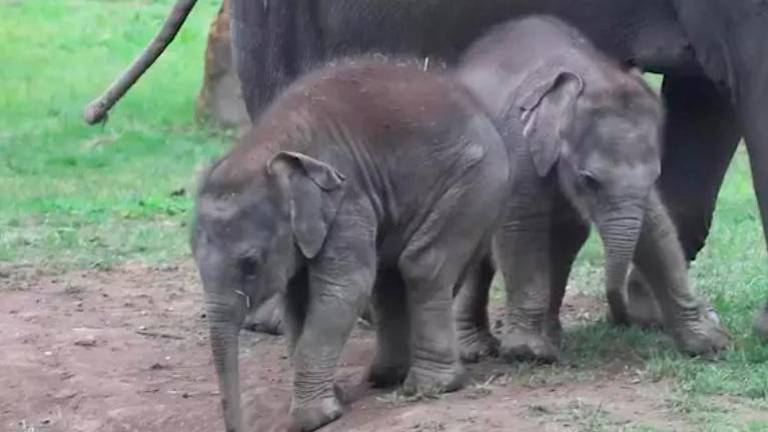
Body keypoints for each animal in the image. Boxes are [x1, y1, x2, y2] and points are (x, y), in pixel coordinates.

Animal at [191, 57, 511, 432]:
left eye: (250, 263)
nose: (240, 424)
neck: (268, 146)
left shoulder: (347, 200)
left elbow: (343, 289)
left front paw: (313, 419)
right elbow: (297, 300)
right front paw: (335, 399)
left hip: (473, 183)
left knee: (422, 265)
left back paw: (429, 386)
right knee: (389, 277)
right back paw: (386, 376)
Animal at [452, 16, 730, 362]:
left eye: (655, 175)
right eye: (589, 179)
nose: (625, 320)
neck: (588, 76)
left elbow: (657, 229)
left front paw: (711, 343)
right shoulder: (520, 148)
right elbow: (520, 228)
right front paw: (530, 353)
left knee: (563, 240)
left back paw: (548, 336)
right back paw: (477, 350)